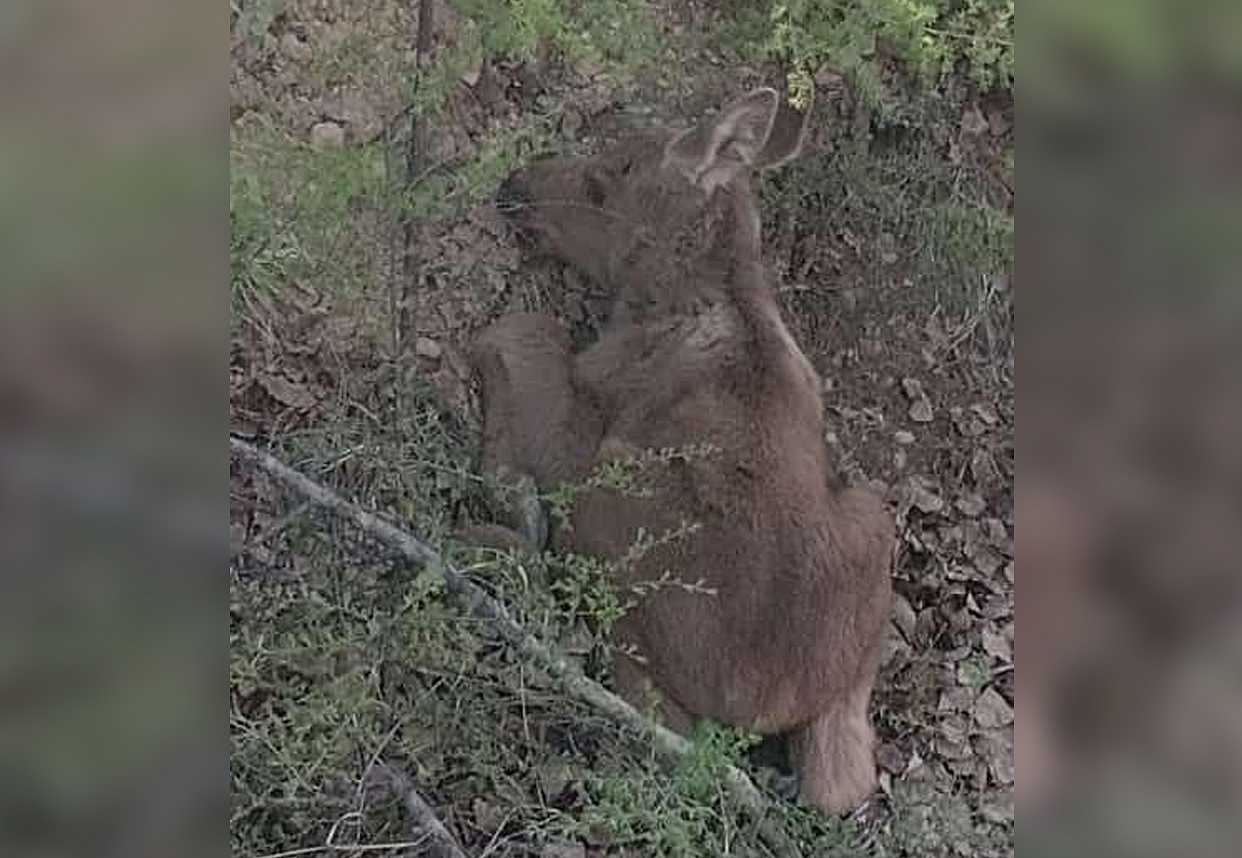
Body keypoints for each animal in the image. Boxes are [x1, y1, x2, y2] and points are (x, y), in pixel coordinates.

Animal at [471, 87, 894, 819]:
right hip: (874, 521)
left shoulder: (578, 428)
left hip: (611, 497)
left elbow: (522, 328)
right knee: (844, 778)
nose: (515, 184)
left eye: (605, 178)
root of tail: (755, 707)